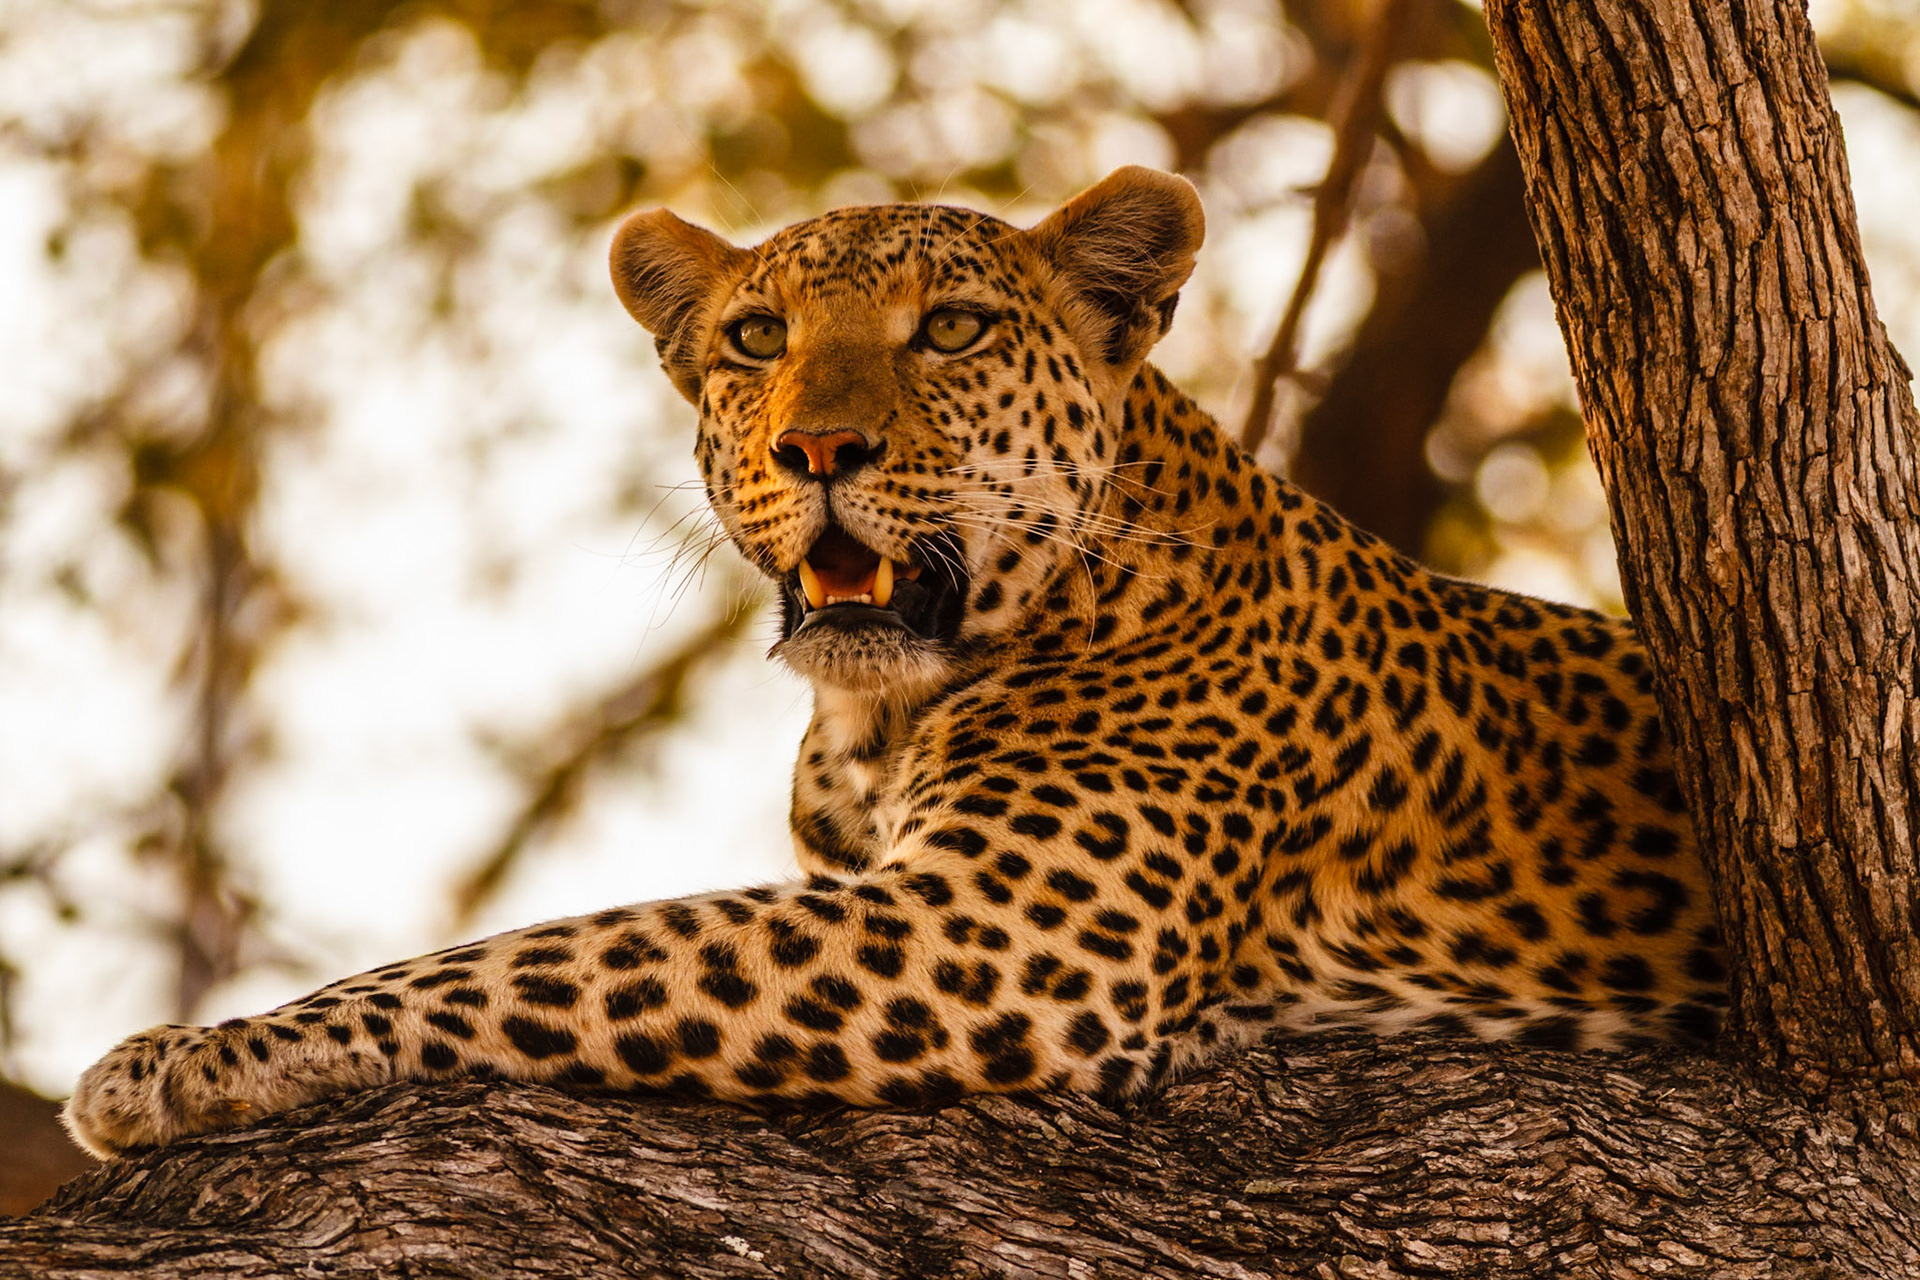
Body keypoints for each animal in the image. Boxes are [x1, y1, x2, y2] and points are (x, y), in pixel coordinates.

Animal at [63, 166, 1728, 1160]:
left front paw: (187, 1059)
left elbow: (553, 953)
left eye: (955, 329)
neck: (872, 719)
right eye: (754, 337)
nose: (819, 449)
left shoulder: (997, 934)